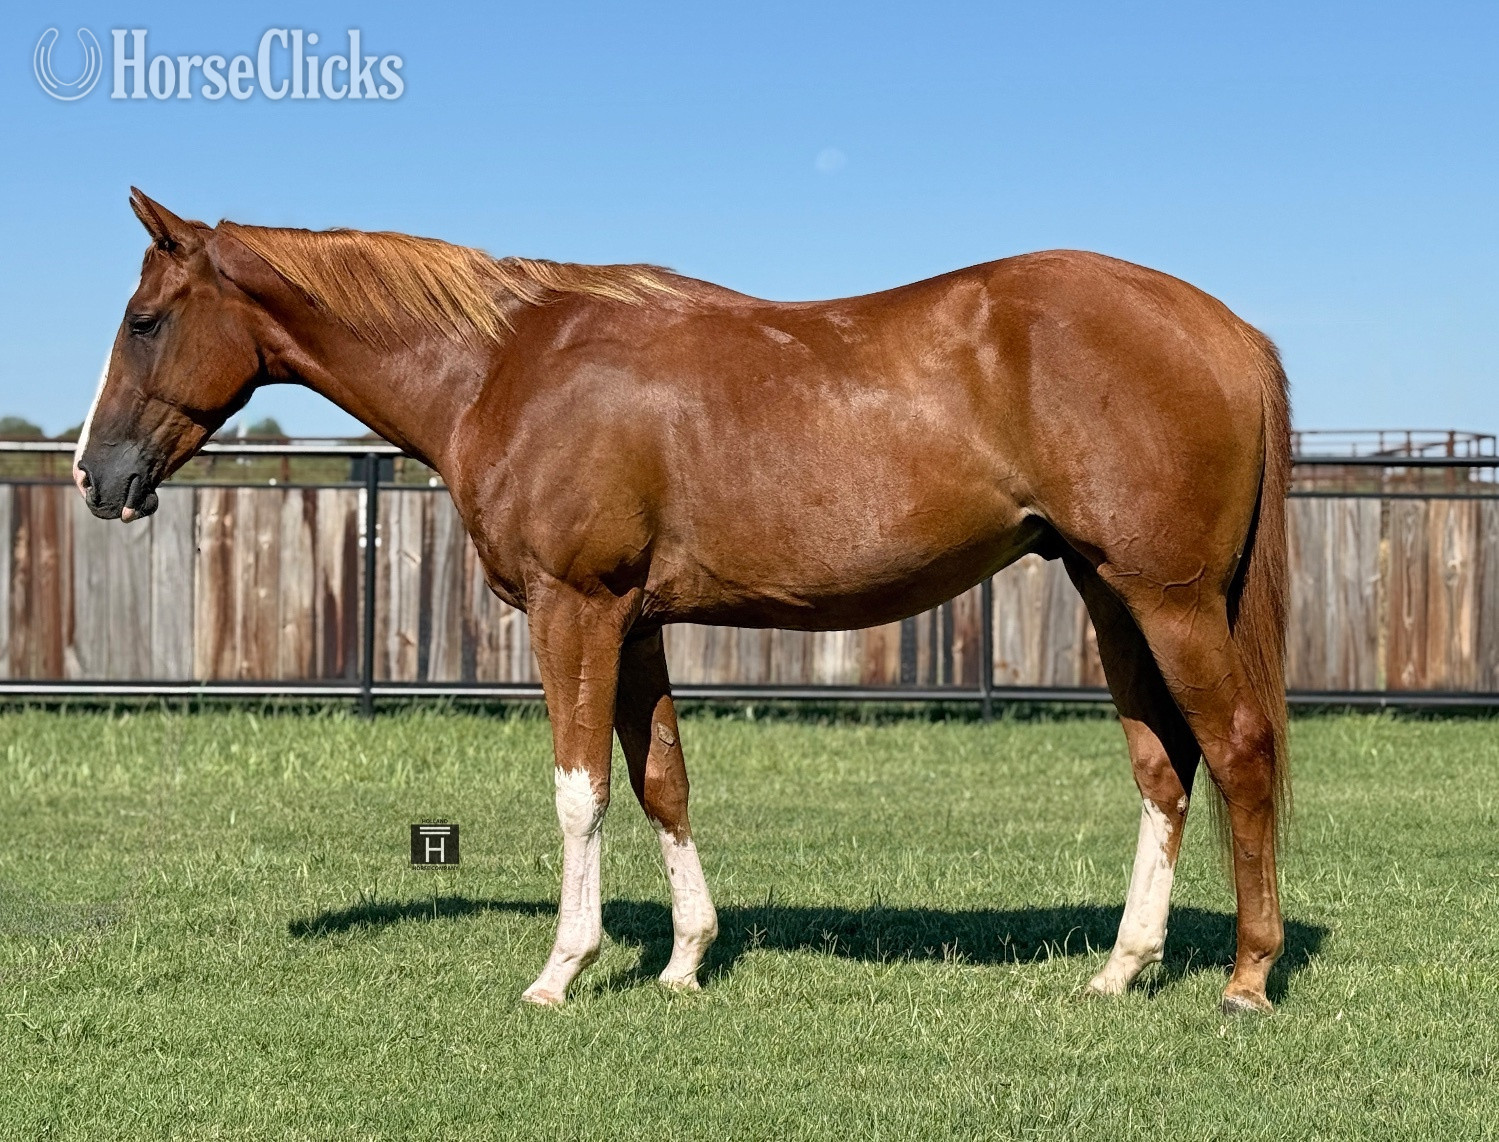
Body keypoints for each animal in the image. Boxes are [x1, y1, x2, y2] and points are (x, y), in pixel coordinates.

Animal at [76, 189, 1291, 1013]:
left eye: (144, 319)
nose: (96, 475)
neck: (503, 366)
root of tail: (1226, 328)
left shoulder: (574, 610)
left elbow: (580, 792)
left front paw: (561, 969)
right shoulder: (638, 622)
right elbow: (661, 779)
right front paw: (684, 958)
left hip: (1170, 600)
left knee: (1236, 750)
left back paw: (1244, 977)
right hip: (1108, 592)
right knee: (1163, 768)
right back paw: (1120, 967)